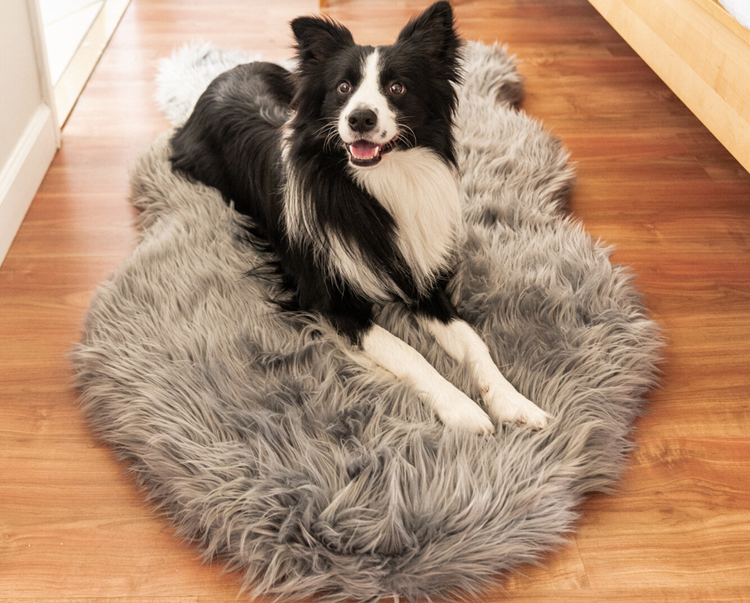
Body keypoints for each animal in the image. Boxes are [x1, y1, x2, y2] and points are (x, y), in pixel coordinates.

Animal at [170, 0, 552, 434]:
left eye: (397, 87)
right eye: (343, 88)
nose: (360, 119)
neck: (378, 182)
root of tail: (225, 72)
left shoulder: (421, 278)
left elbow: (473, 341)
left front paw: (513, 401)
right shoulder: (331, 303)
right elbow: (409, 353)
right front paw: (461, 407)